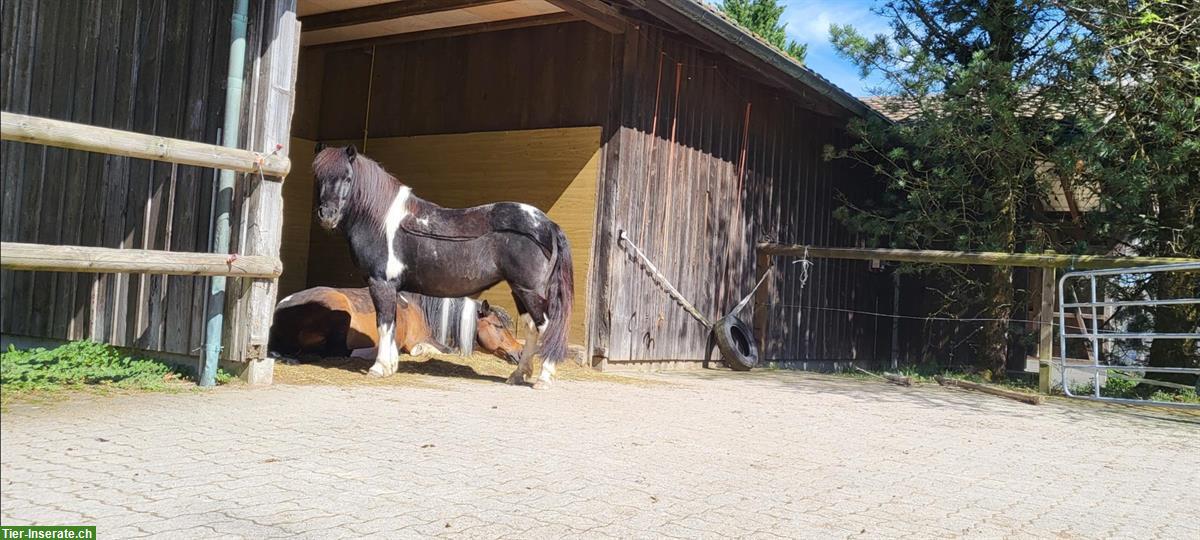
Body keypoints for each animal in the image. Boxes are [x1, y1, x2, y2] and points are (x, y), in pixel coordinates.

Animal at [309, 143, 571, 388]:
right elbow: (393, 323)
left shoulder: (381, 283)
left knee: (547, 327)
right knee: (532, 327)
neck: (383, 223)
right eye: (318, 177)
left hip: (531, 291)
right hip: (520, 290)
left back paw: (543, 378)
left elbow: (384, 322)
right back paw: (517, 375)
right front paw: (391, 365)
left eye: (347, 177)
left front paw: (380, 367)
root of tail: (547, 224)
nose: (327, 215)